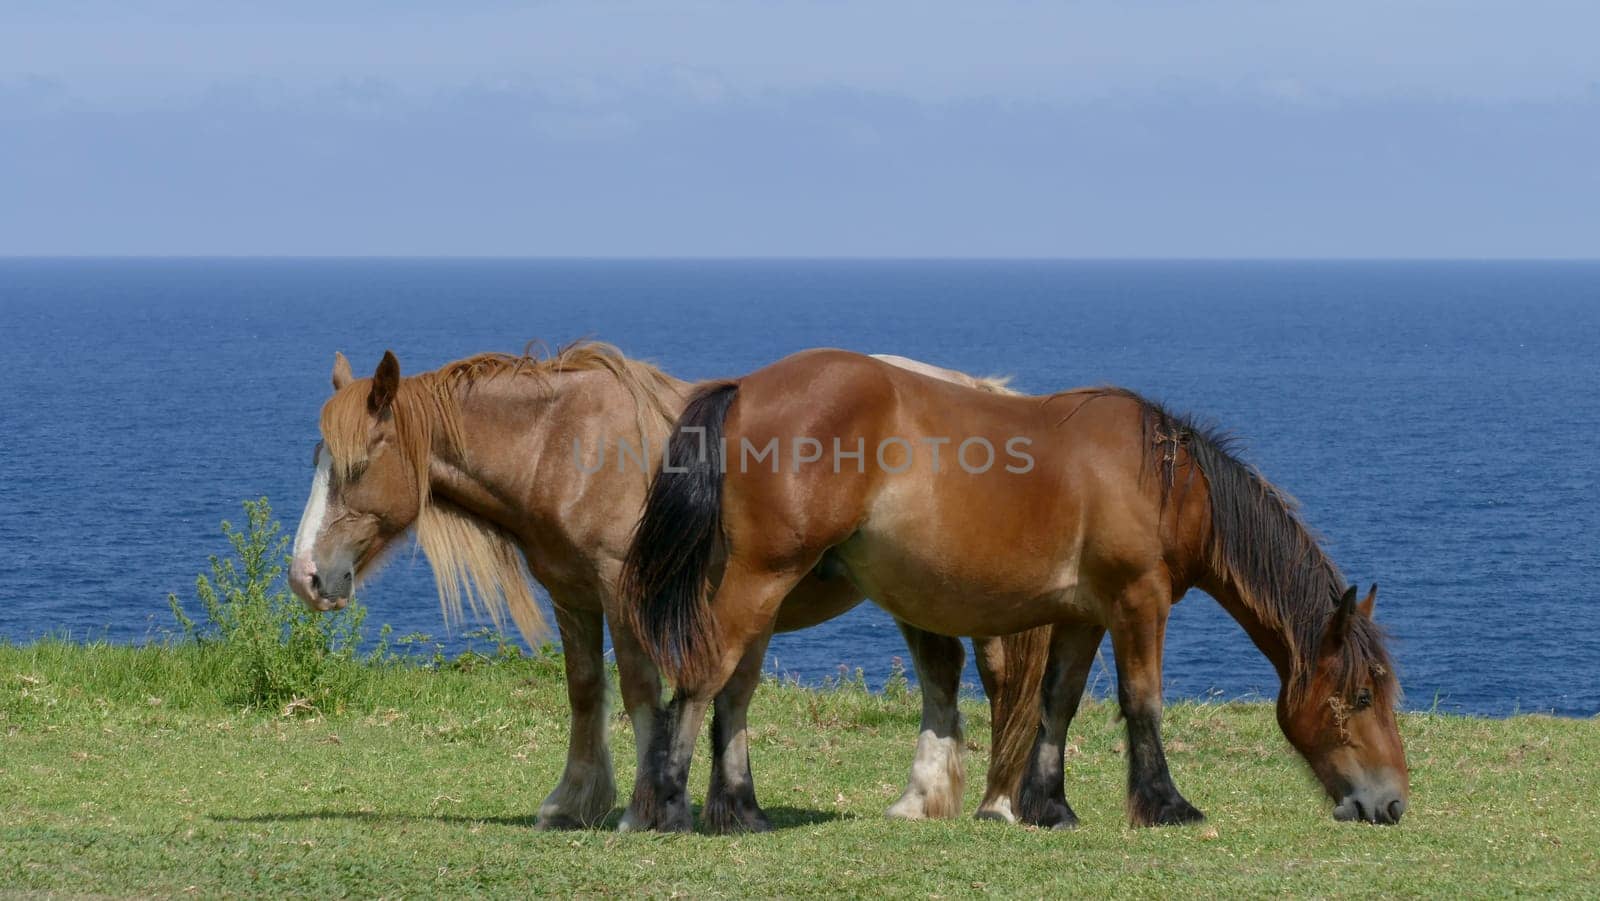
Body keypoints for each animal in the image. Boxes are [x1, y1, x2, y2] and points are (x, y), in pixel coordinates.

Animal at [288, 344, 1049, 832]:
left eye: (357, 465)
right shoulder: (572, 594)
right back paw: (923, 798)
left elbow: (640, 690)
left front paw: (643, 806)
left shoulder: (625, 592)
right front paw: (574, 799)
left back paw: (998, 803)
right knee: (941, 672)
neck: (565, 447)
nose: (306, 577)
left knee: (997, 677)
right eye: (317, 457)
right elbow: (587, 689)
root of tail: (977, 391)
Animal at [617, 350, 1408, 832]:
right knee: (704, 677)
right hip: (757, 580)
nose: (1392, 802)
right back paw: (669, 805)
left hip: (761, 588)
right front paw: (1165, 804)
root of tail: (747, 388)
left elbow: (1059, 703)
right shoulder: (1138, 602)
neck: (1167, 482)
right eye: (1359, 697)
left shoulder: (1085, 614)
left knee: (734, 689)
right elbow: (1142, 701)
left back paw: (741, 809)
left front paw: (1048, 805)